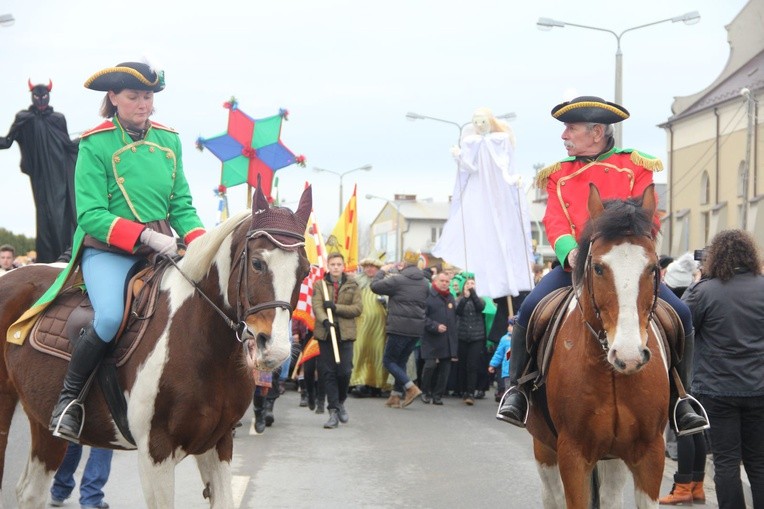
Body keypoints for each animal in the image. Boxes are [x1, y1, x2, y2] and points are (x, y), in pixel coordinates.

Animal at [0, 185, 312, 506]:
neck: (205, 346)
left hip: (42, 420)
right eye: (258, 263)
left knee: (30, 492)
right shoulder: (155, 452)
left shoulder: (218, 441)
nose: (275, 349)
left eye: (304, 270)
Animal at [524, 184, 668, 508]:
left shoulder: (650, 454)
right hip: (544, 448)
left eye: (653, 267)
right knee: (551, 495)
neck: (612, 374)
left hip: (613, 458)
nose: (628, 356)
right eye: (599, 268)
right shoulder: (572, 455)